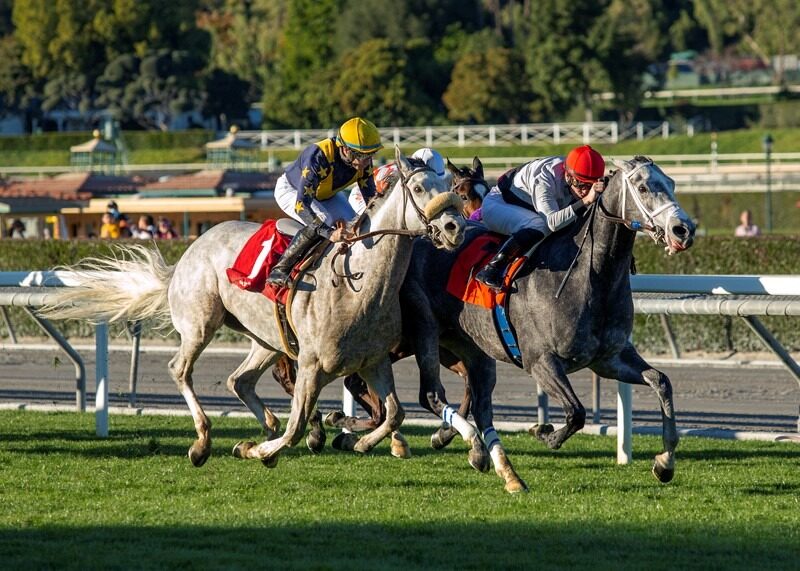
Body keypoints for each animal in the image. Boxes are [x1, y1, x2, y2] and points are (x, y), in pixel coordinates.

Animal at [42, 147, 468, 470]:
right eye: (418, 187)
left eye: (451, 189)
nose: (454, 229)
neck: (357, 286)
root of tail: (189, 251)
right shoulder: (312, 364)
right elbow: (297, 428)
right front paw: (266, 450)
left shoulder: (373, 361)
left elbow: (393, 412)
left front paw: (361, 443)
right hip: (201, 323)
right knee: (181, 369)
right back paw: (203, 442)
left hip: (266, 339)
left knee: (239, 380)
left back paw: (261, 426)